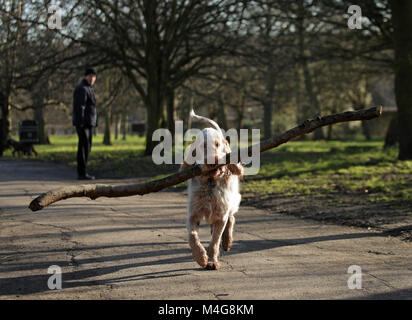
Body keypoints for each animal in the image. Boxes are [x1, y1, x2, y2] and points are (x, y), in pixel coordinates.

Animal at [179, 110, 243, 270]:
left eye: (218, 144)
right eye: (202, 146)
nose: (213, 161)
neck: (210, 182)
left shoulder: (221, 216)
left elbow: (215, 241)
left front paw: (212, 261)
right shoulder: (192, 215)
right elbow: (192, 237)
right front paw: (201, 257)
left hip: (232, 200)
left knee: (231, 218)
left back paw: (227, 241)